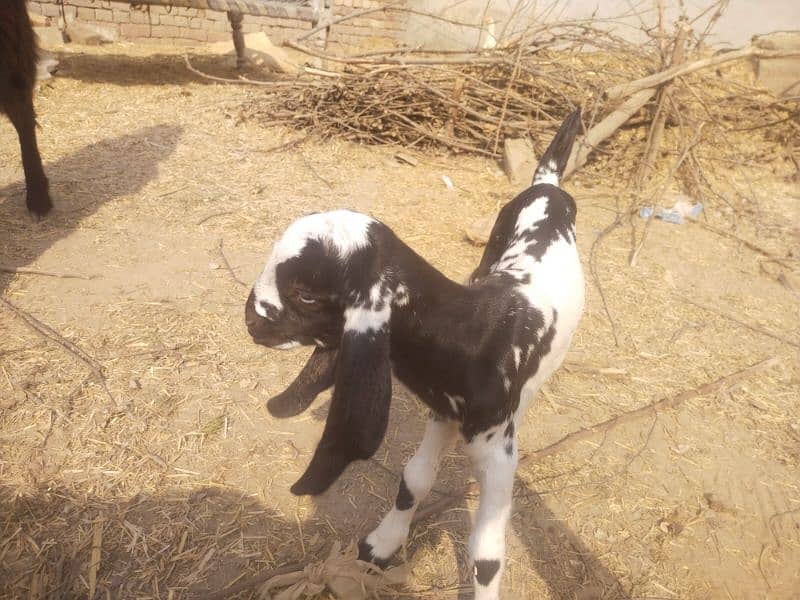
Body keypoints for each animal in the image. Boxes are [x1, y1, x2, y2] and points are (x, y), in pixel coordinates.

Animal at [244, 110, 580, 596]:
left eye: (305, 294)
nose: (250, 321)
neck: (474, 333)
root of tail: (548, 185)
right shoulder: (442, 411)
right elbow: (414, 480)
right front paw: (381, 545)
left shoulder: (497, 450)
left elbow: (486, 556)